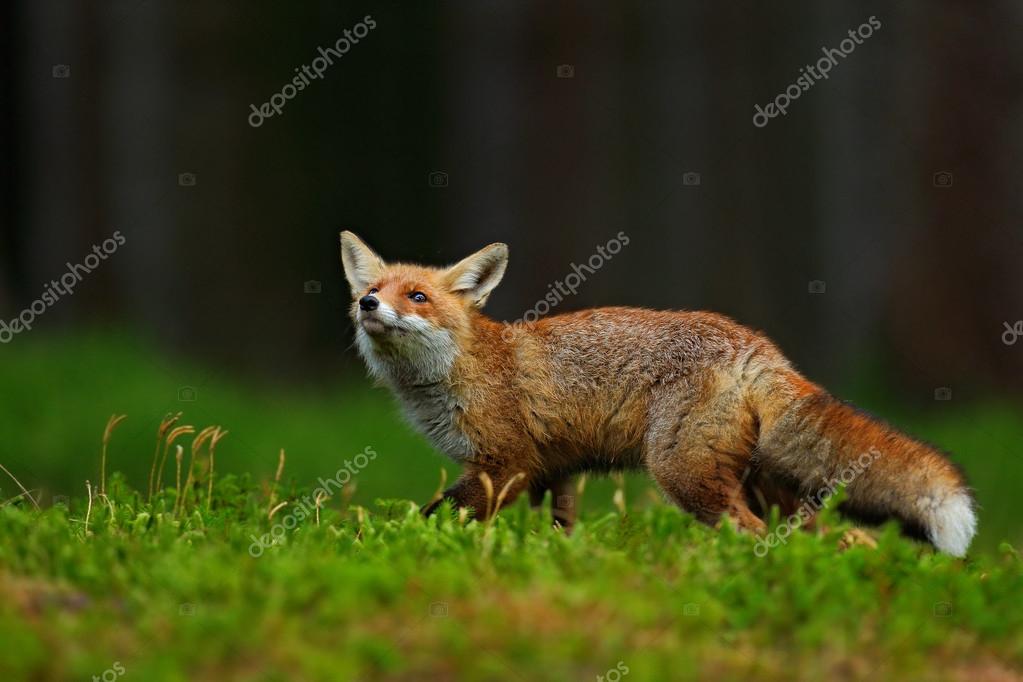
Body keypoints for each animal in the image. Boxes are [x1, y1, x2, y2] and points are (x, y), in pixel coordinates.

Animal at [339, 231, 977, 556]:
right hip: (768, 489)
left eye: (417, 297)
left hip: (685, 474)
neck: (462, 370)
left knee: (754, 535)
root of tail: (756, 343)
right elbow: (560, 531)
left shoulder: (506, 463)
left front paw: (384, 541)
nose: (368, 303)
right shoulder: (554, 469)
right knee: (842, 539)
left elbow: (436, 514)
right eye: (373, 289)